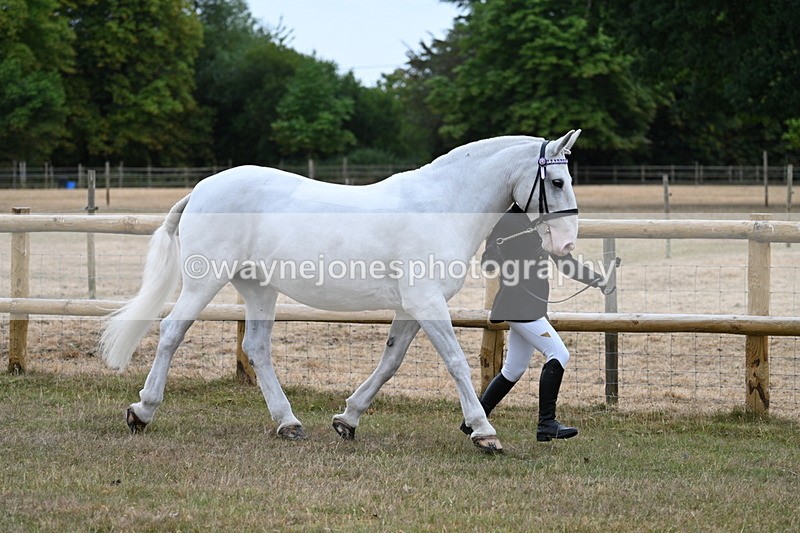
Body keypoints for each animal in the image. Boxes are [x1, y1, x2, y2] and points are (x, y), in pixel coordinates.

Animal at [100, 129, 583, 453]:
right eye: (557, 182)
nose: (566, 245)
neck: (442, 206)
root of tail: (201, 189)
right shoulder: (426, 302)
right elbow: (456, 364)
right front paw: (484, 433)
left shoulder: (412, 306)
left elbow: (390, 362)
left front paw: (348, 419)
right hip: (206, 281)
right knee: (171, 333)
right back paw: (142, 411)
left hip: (259, 288)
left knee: (256, 348)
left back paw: (288, 423)